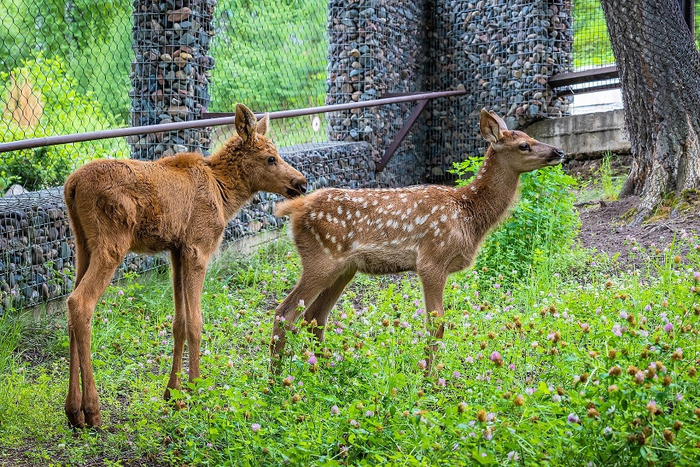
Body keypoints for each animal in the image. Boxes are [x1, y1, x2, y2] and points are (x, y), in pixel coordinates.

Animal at [63, 103, 307, 428]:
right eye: (271, 158)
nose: (301, 183)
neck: (225, 194)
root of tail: (72, 185)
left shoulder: (176, 251)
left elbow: (178, 322)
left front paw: (173, 394)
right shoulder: (197, 249)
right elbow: (195, 323)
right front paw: (196, 390)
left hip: (82, 245)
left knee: (69, 308)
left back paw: (72, 409)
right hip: (111, 244)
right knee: (81, 302)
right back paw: (92, 408)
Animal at [270, 109, 565, 371]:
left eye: (530, 136)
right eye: (524, 145)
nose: (558, 152)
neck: (467, 215)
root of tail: (295, 209)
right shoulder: (432, 261)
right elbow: (436, 325)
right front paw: (429, 379)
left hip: (344, 268)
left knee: (315, 317)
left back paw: (324, 370)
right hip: (321, 258)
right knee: (285, 312)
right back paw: (276, 379)